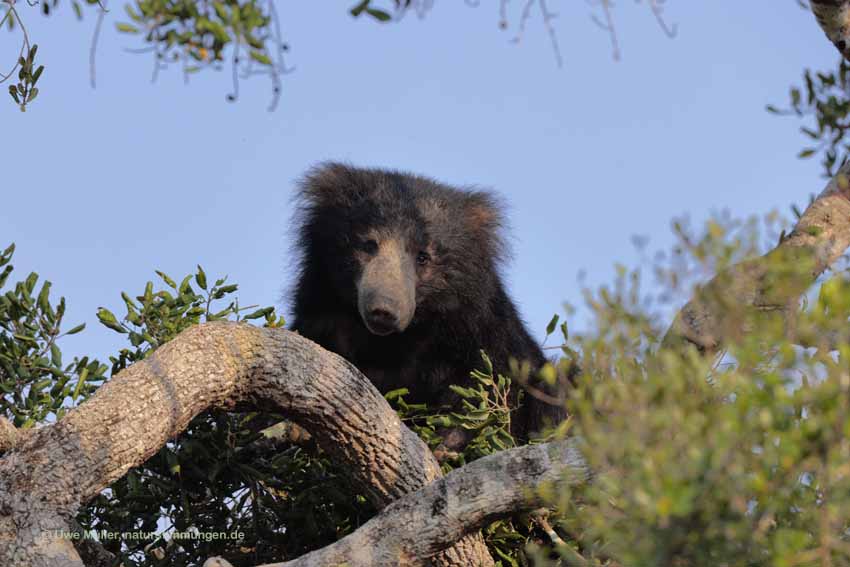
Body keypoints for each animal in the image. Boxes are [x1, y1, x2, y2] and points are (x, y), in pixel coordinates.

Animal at [290, 162, 564, 450]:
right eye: (368, 245)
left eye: (423, 257)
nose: (384, 311)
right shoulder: (324, 317)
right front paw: (296, 428)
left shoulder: (479, 333)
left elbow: (489, 385)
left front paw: (448, 440)